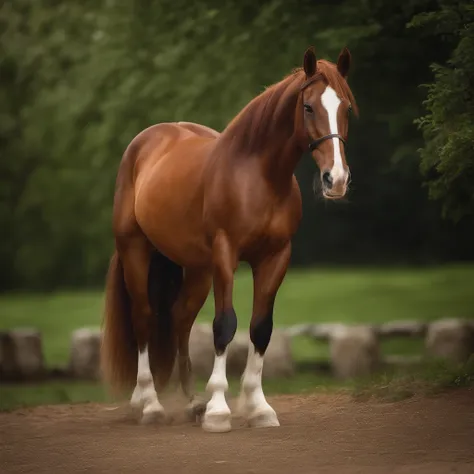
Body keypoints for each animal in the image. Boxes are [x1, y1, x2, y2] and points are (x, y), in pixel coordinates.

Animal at [101, 45, 360, 434]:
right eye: (308, 107)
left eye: (344, 107)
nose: (336, 179)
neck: (258, 176)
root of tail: (145, 142)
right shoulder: (226, 254)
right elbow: (225, 326)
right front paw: (220, 411)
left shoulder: (275, 257)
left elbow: (261, 328)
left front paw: (258, 407)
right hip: (136, 250)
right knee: (143, 317)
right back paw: (149, 404)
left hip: (196, 269)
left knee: (179, 318)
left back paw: (191, 402)